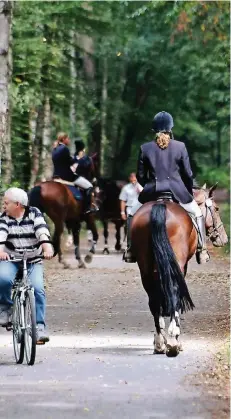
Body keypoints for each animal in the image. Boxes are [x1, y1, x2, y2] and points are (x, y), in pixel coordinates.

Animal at [131, 184, 228, 358]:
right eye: (216, 209)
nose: (224, 239)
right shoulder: (183, 266)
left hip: (145, 267)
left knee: (153, 299)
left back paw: (159, 343)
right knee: (174, 291)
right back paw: (174, 342)